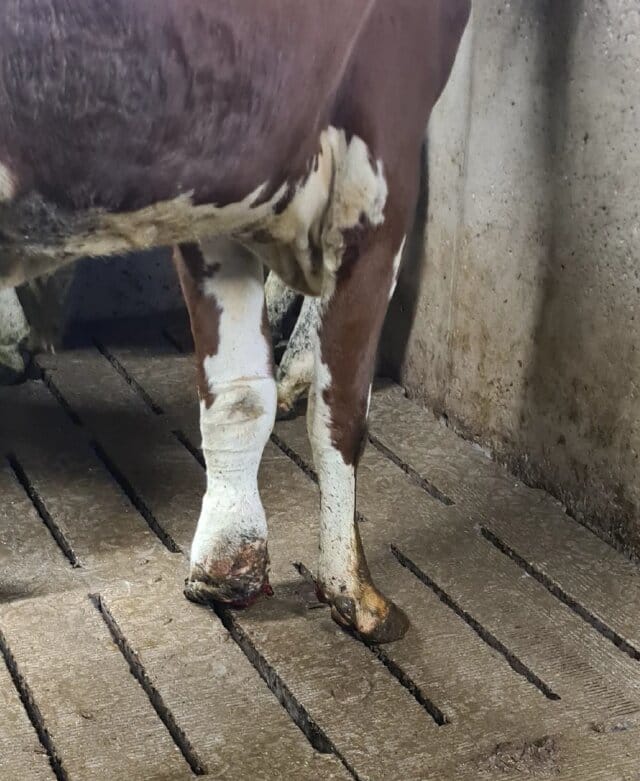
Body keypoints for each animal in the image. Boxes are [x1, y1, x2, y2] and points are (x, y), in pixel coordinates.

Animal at [0, 0, 470, 643]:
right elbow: (342, 414)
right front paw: (353, 592)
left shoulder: (218, 201)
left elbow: (239, 394)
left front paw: (226, 565)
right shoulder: (379, 168)